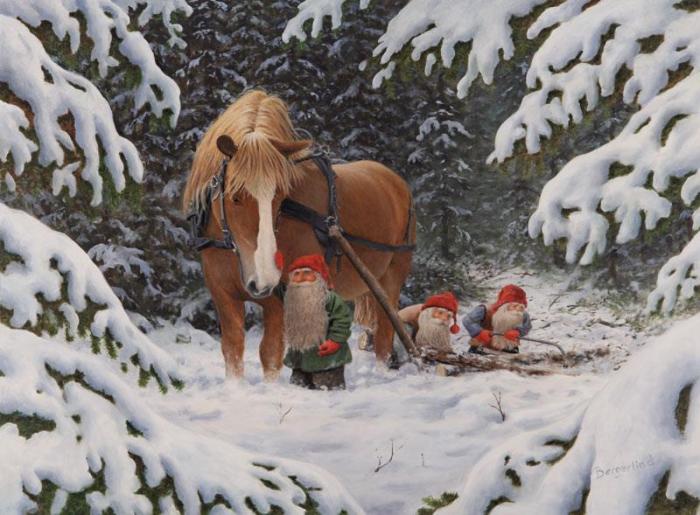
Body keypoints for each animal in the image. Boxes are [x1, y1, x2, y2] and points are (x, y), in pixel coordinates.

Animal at [185, 90, 416, 380]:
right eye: (235, 197)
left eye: (280, 196)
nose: (264, 279)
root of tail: (396, 182)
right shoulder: (223, 295)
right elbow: (232, 351)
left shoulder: (281, 299)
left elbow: (270, 354)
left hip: (391, 278)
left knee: (385, 335)